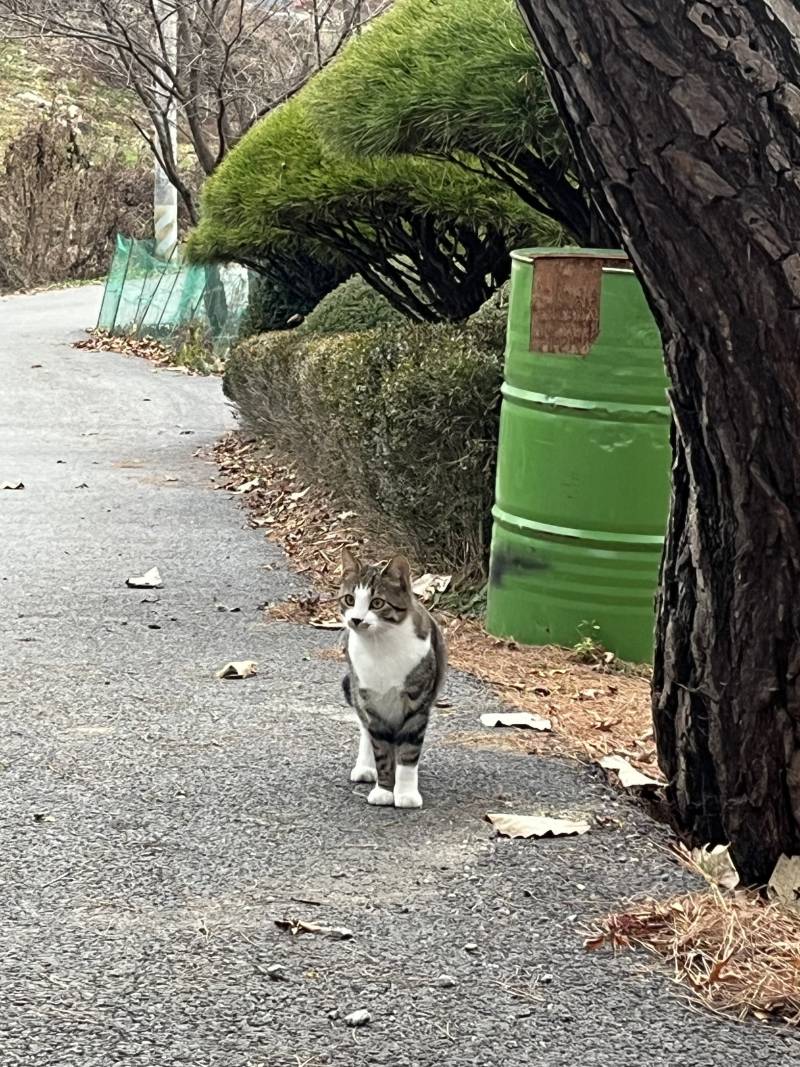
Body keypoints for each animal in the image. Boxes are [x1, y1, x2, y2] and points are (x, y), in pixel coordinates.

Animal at [339, 550, 448, 806]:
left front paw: (406, 793)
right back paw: (365, 767)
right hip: (355, 690)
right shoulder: (371, 703)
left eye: (377, 603)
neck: (380, 646)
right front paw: (384, 790)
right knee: (365, 729)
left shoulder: (418, 703)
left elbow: (408, 751)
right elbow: (381, 749)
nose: (356, 620)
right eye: (349, 600)